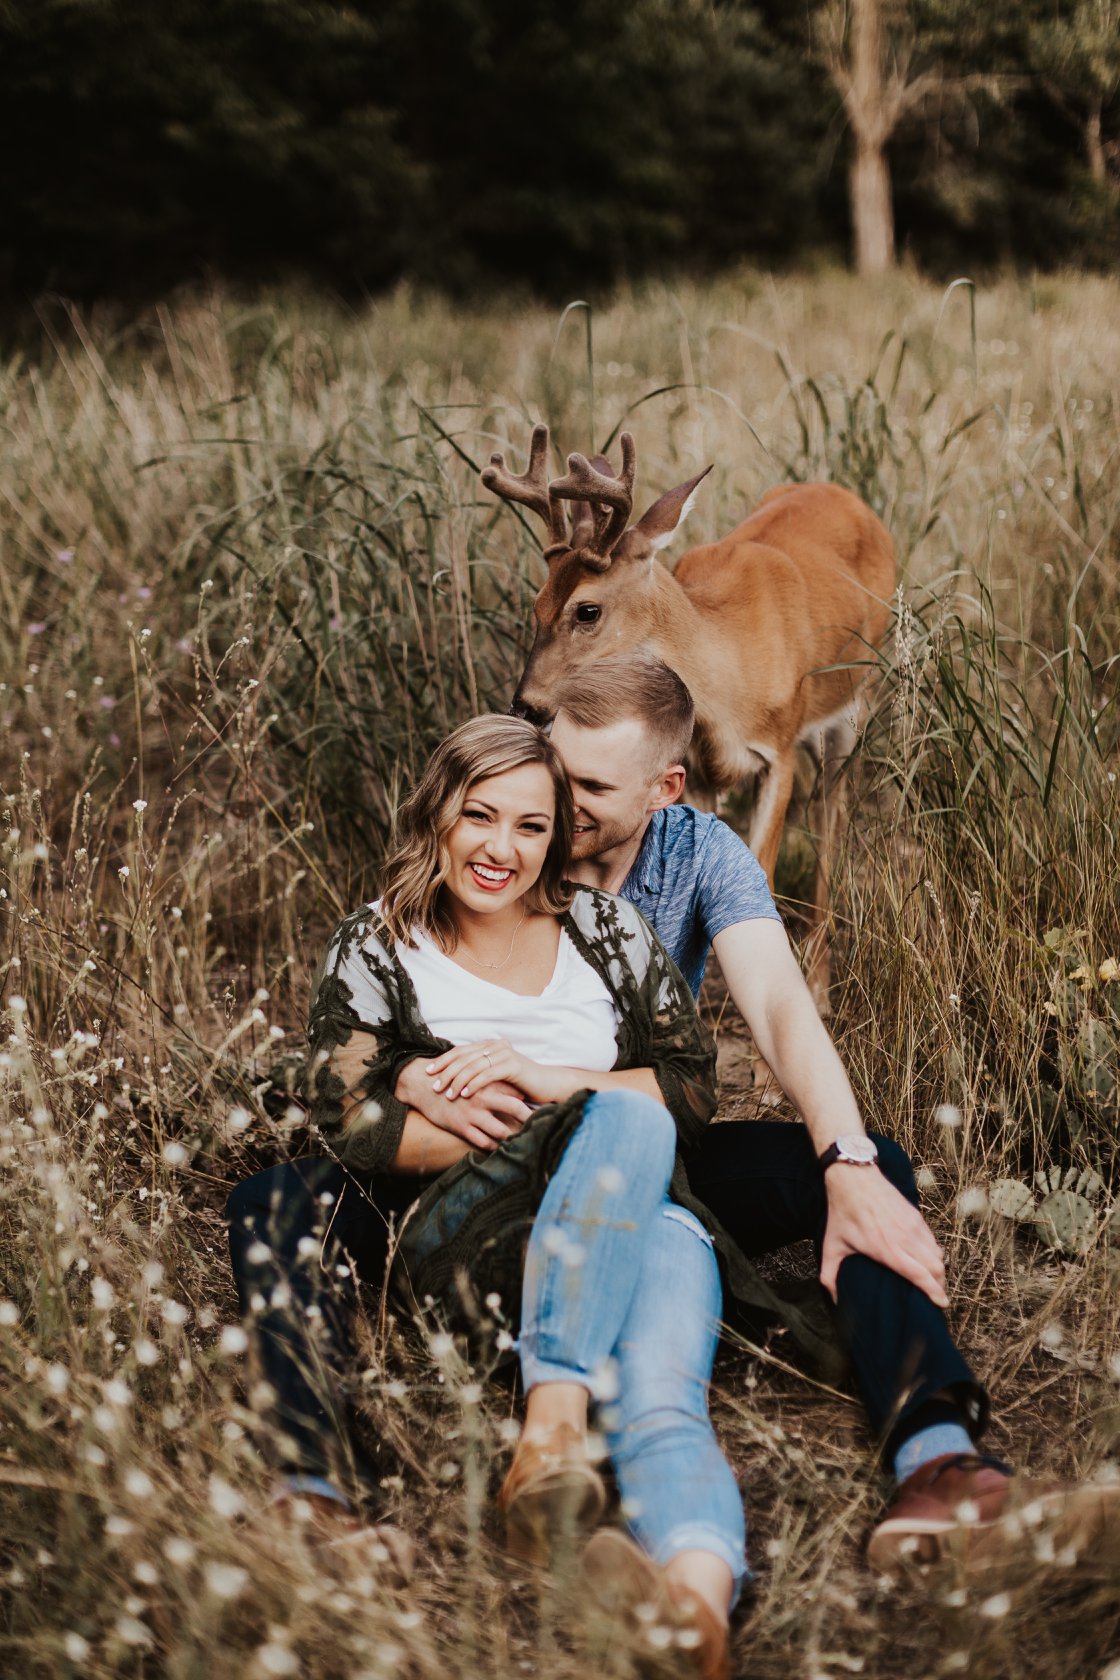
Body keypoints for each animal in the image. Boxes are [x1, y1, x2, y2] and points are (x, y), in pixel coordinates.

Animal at [480, 426, 893, 1014]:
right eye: (537, 603)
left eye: (587, 609)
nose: (527, 705)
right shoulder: (694, 770)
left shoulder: (780, 749)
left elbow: (760, 876)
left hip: (853, 708)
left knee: (829, 825)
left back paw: (818, 989)